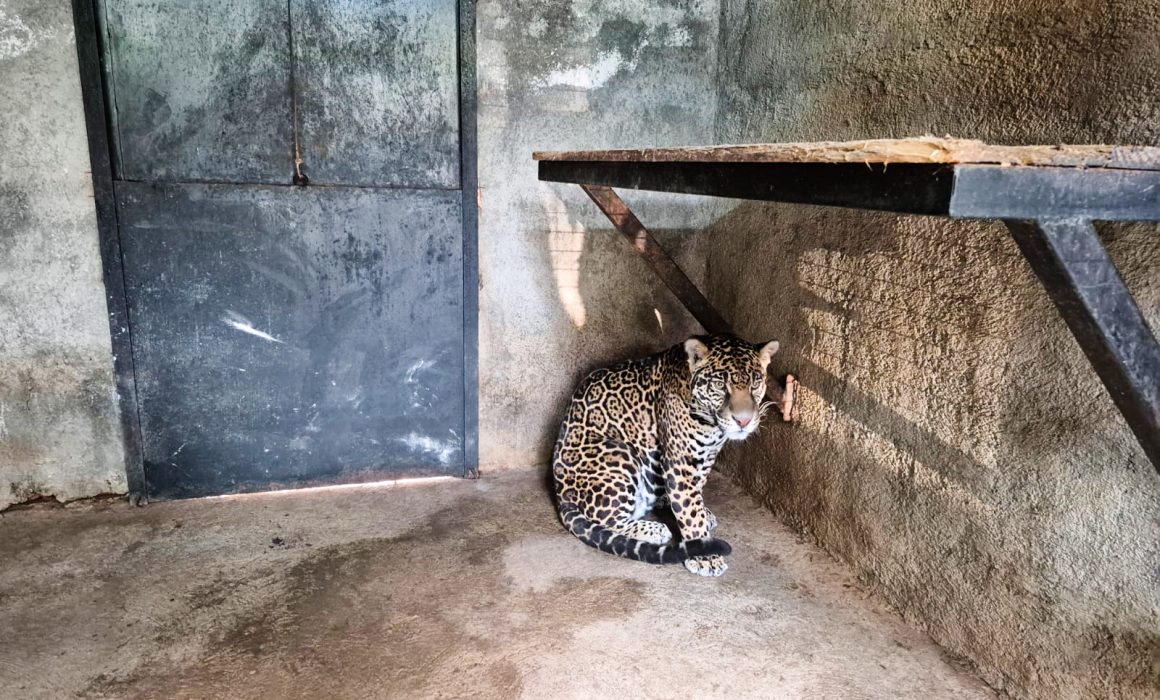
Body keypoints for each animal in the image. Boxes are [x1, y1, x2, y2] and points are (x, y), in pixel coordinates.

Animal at [552, 333, 780, 577]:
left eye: (755, 384)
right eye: (719, 386)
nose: (743, 421)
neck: (711, 424)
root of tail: (560, 495)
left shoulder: (707, 455)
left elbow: (696, 491)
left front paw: (701, 514)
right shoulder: (680, 462)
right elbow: (690, 509)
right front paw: (705, 556)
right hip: (619, 452)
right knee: (607, 520)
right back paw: (654, 528)